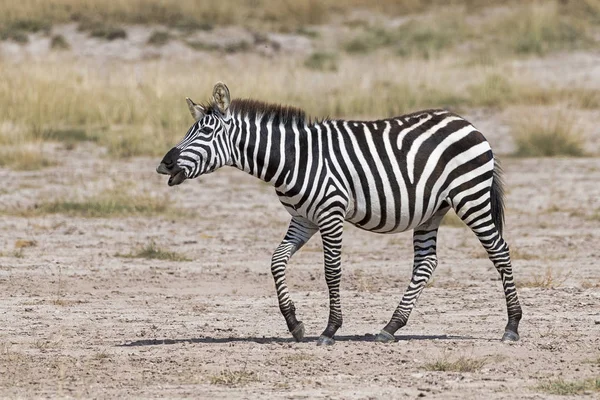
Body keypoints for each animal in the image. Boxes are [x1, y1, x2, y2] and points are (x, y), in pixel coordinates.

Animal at [157, 81, 524, 344]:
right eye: (189, 131)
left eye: (205, 132)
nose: (164, 165)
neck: (292, 158)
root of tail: (467, 123)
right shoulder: (302, 219)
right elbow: (277, 261)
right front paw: (295, 324)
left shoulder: (330, 213)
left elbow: (331, 271)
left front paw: (330, 330)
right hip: (432, 210)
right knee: (426, 263)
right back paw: (391, 326)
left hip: (470, 197)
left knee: (500, 251)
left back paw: (512, 326)